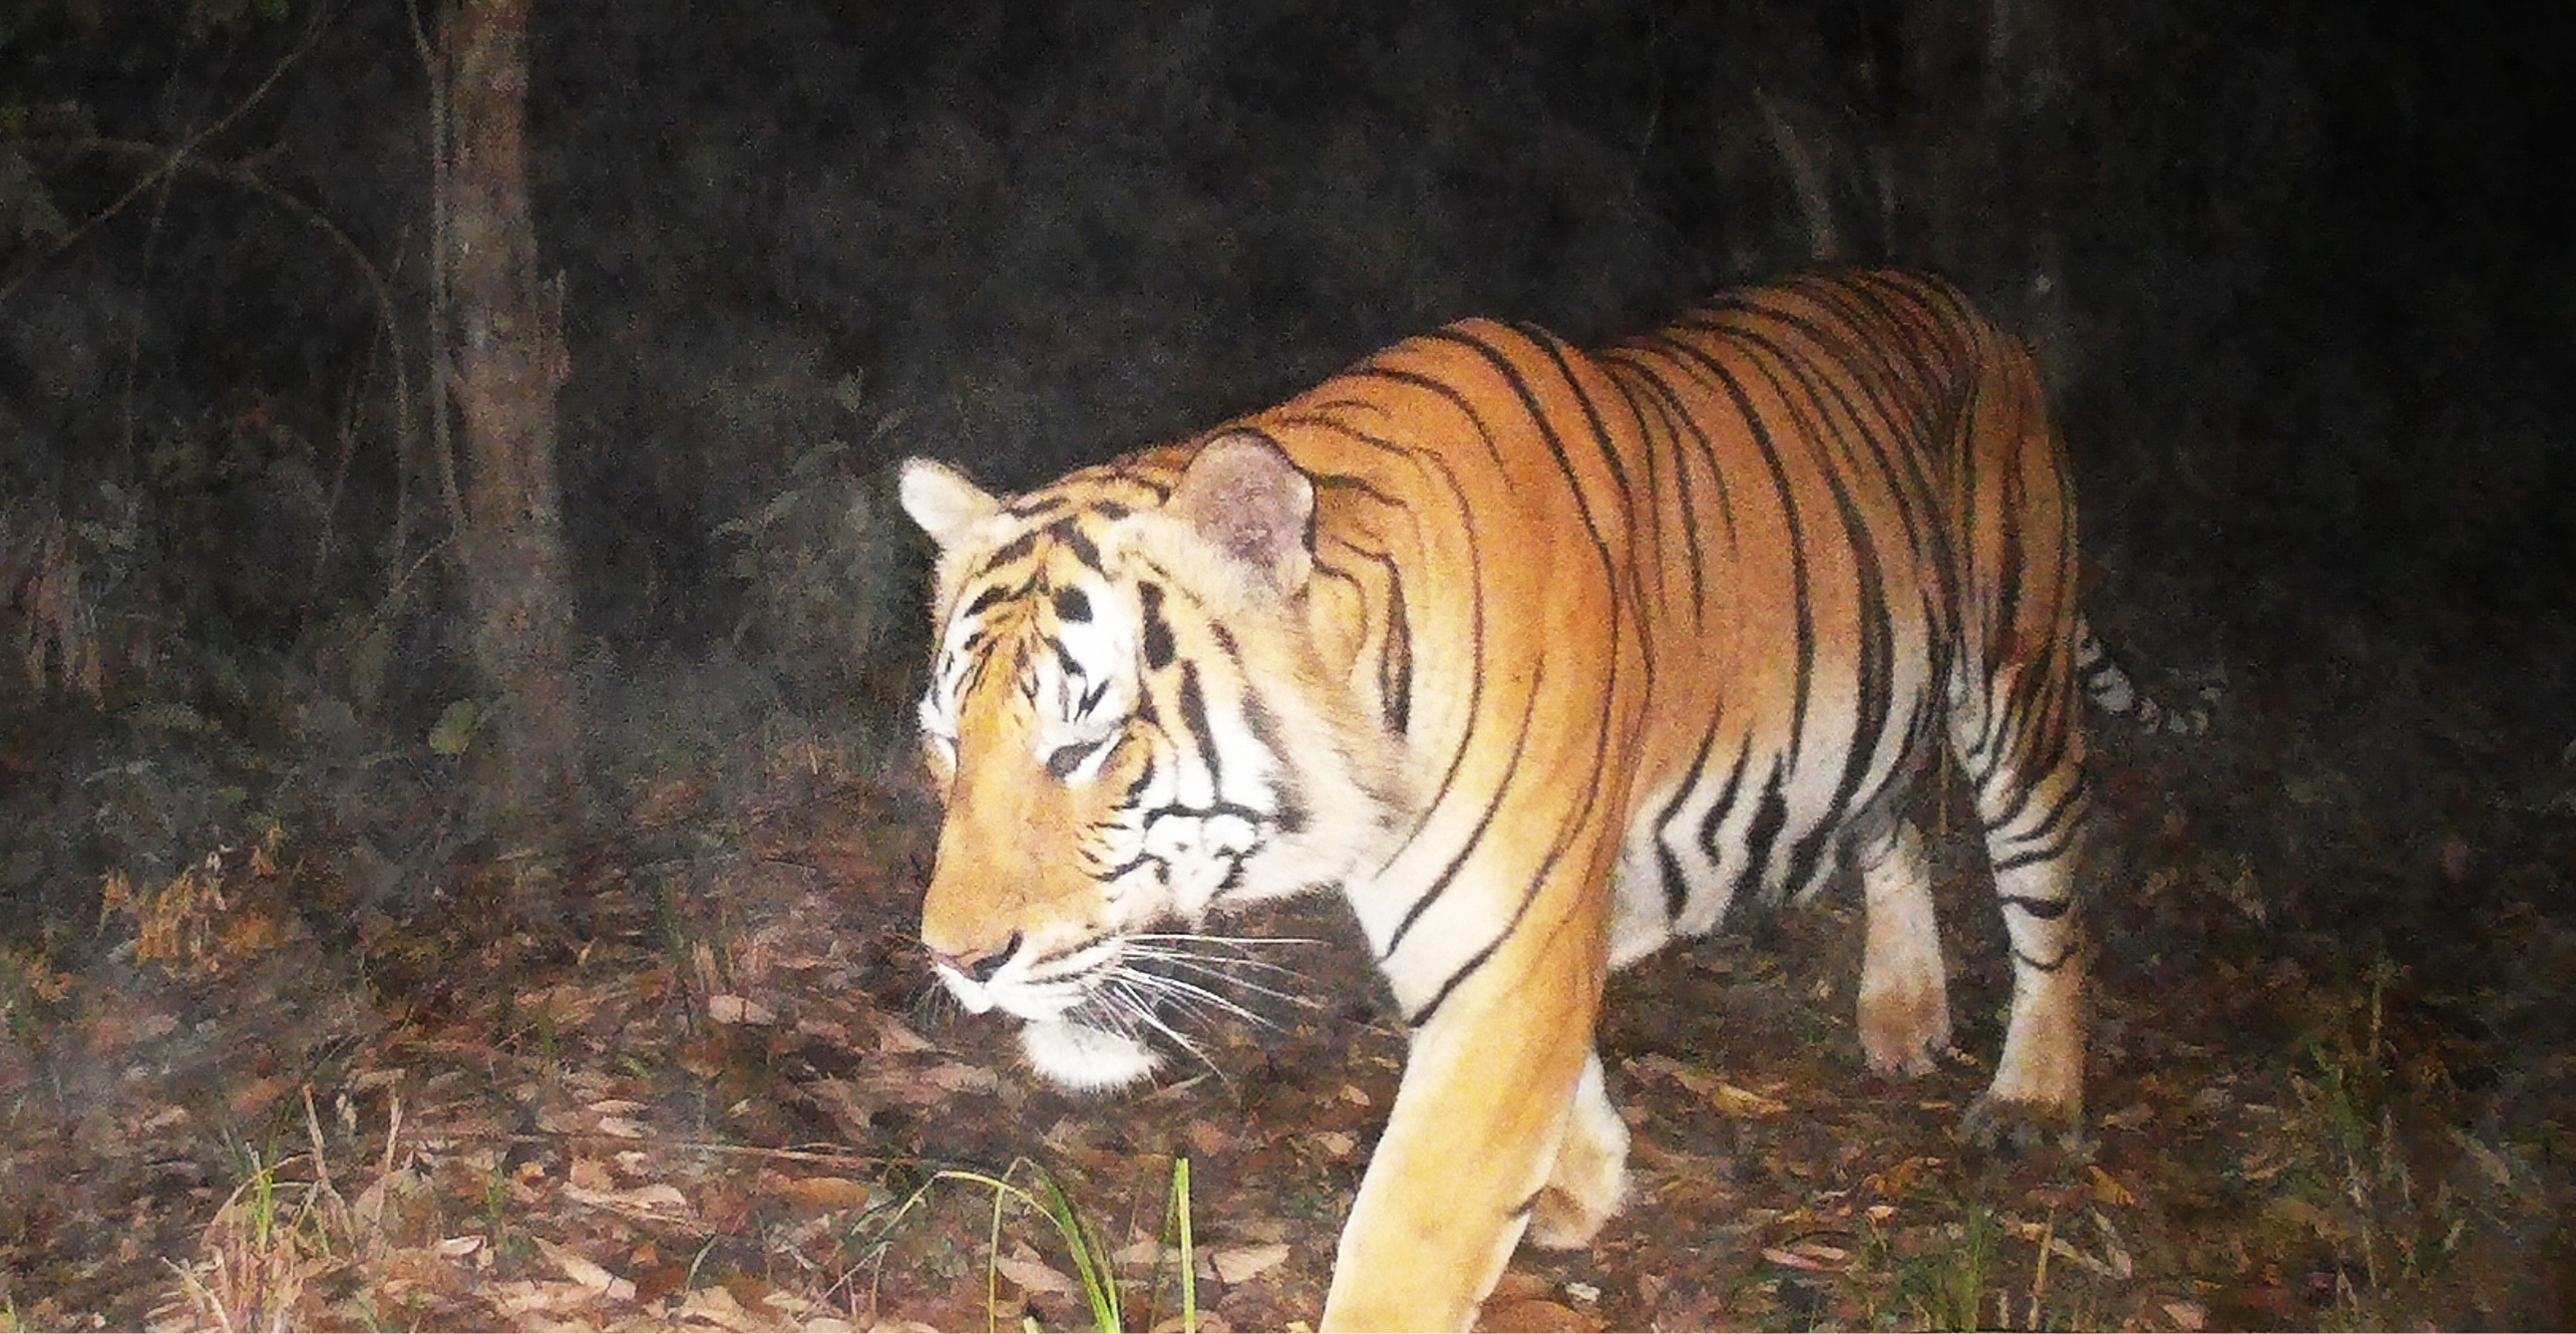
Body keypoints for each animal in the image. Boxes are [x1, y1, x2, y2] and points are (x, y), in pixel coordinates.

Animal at [896, 266, 2122, 1328]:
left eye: (1085, 747)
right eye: (948, 744)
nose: (957, 962)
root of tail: (1973, 308)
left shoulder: (1505, 952)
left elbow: (1410, 1235)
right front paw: (1587, 1175)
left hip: (2014, 683)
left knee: (2050, 895)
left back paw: (2031, 1098)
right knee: (1894, 830)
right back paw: (1904, 1017)